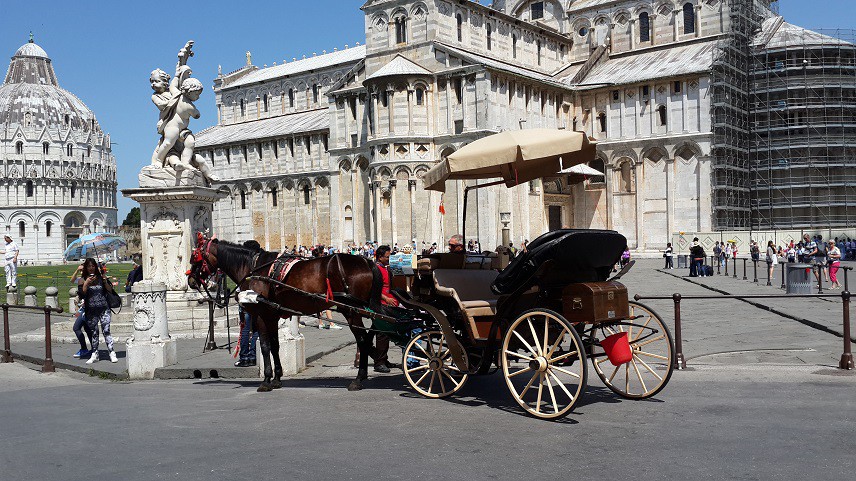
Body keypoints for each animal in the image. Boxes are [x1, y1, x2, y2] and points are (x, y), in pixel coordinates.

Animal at [191, 238, 388, 392]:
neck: (253, 268)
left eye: (195, 257)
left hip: (351, 310)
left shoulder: (261, 315)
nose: (191, 280)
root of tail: (367, 261)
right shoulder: (272, 316)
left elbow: (265, 346)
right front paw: (277, 378)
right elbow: (275, 346)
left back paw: (359, 378)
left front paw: (266, 380)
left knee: (362, 340)